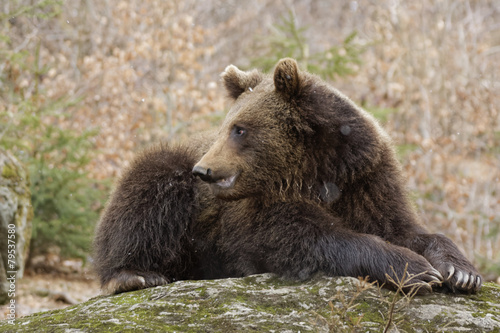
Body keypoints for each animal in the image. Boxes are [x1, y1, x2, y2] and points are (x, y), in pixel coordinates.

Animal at [93, 58, 480, 294]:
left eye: (239, 129)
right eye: (226, 127)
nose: (203, 170)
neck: (316, 170)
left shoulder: (366, 178)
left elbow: (401, 227)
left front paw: (460, 271)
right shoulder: (254, 213)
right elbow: (300, 236)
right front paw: (414, 269)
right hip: (173, 190)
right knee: (146, 197)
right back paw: (135, 274)